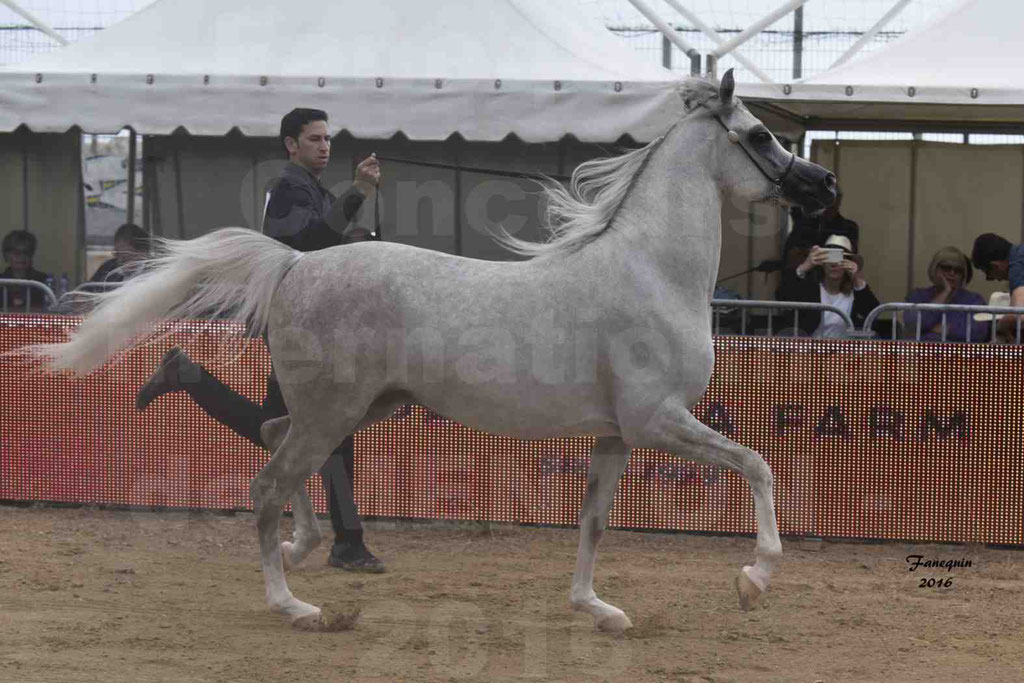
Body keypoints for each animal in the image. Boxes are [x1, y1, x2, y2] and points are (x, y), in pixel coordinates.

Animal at [28, 72, 835, 634]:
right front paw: (754, 578)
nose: (824, 182)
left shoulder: (615, 433)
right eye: (759, 135)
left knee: (274, 437)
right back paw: (296, 605)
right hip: (336, 410)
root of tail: (295, 262)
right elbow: (758, 465)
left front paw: (598, 610)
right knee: (266, 481)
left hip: (361, 407)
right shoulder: (656, 420)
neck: (651, 269)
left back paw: (302, 547)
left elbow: (594, 522)